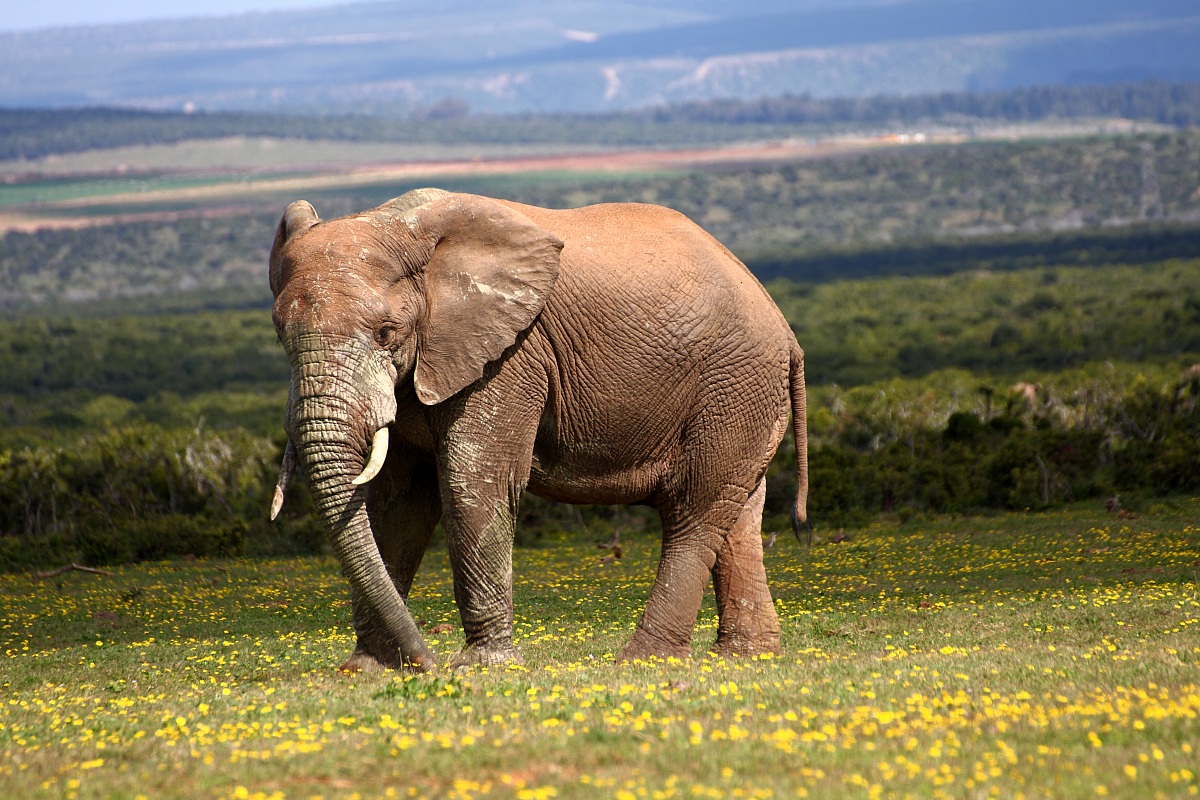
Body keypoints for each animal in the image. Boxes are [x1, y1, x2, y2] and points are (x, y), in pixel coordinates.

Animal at [268, 188, 808, 673]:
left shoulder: (512, 354)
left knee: (693, 510)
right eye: (278, 334)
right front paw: (367, 669)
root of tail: (786, 331)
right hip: (745, 395)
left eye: (386, 333)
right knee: (738, 515)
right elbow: (397, 501)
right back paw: (745, 657)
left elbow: (473, 482)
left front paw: (484, 667)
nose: (428, 664)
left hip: (733, 384)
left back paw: (641, 661)